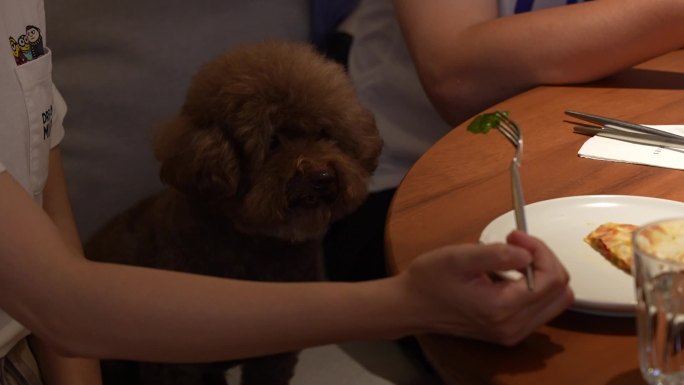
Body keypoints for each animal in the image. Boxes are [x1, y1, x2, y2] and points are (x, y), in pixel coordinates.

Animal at [85, 39, 382, 384]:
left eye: (324, 133)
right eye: (273, 141)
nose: (322, 177)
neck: (255, 246)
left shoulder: (276, 353)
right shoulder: (174, 361)